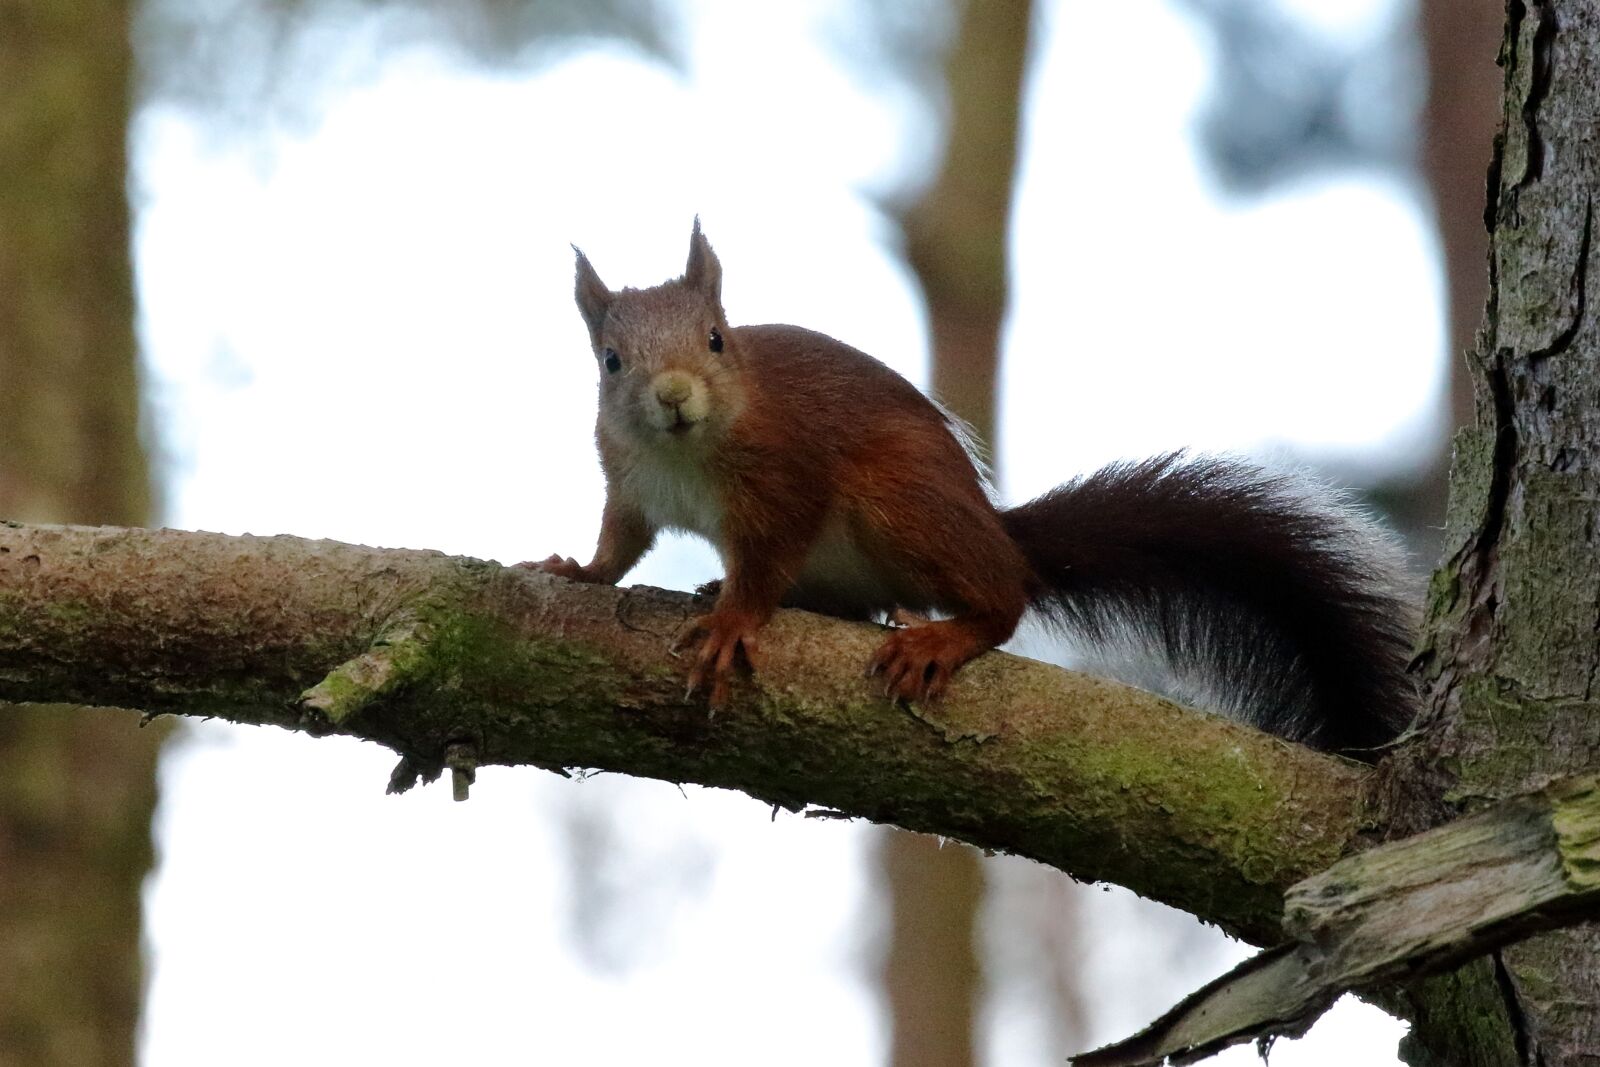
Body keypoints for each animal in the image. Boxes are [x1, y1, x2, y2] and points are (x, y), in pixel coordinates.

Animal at [526, 221, 1418, 754]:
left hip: (902, 503)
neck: (685, 454)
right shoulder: (629, 483)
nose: (674, 395)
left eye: (716, 339)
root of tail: (996, 528)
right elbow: (620, 543)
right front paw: (578, 571)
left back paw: (942, 634)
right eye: (612, 361)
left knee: (1003, 597)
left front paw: (734, 618)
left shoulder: (788, 478)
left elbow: (768, 556)